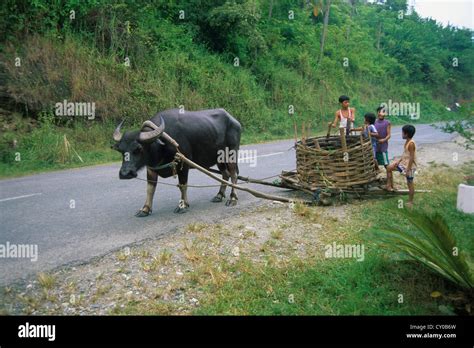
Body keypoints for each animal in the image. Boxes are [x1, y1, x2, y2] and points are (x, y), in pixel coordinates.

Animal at [113, 107, 243, 216]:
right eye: (120, 150)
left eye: (138, 148)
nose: (125, 174)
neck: (162, 144)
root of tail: (235, 121)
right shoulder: (151, 168)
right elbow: (150, 189)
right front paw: (145, 209)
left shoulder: (183, 164)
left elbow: (182, 185)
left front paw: (183, 205)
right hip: (219, 159)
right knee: (225, 174)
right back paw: (219, 195)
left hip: (231, 153)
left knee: (233, 174)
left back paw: (233, 198)